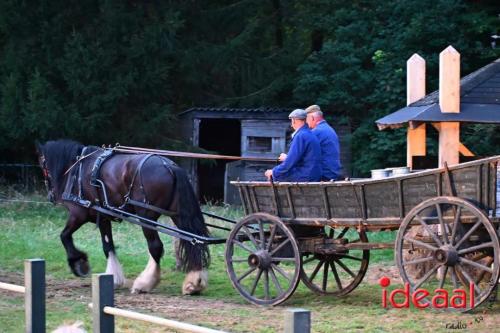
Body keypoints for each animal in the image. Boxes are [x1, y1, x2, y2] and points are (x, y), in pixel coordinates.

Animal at [36, 139, 209, 294]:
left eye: (42, 164)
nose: (51, 196)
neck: (77, 169)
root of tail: (170, 166)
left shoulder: (78, 214)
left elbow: (64, 236)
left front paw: (79, 263)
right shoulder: (103, 216)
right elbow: (108, 246)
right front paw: (113, 277)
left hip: (146, 216)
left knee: (156, 247)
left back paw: (145, 283)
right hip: (178, 214)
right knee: (195, 241)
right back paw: (195, 282)